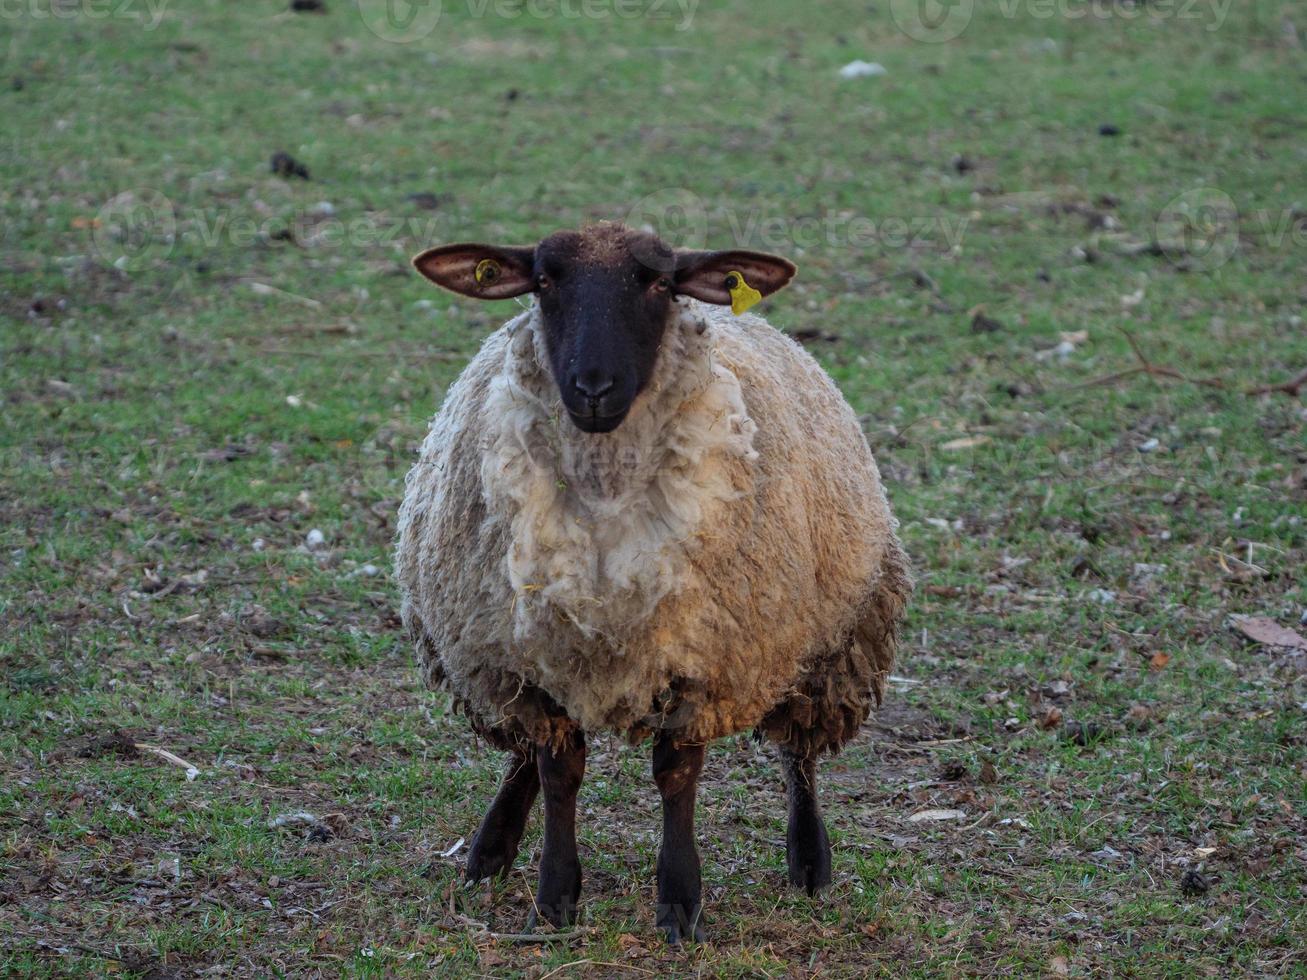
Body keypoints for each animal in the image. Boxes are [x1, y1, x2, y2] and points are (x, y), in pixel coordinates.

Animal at [394, 222, 909, 946]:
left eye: (660, 283)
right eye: (543, 281)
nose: (593, 386)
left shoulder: (704, 661)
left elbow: (676, 776)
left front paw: (679, 902)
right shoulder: (534, 653)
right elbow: (558, 770)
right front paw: (555, 898)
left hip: (826, 638)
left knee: (799, 752)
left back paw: (809, 859)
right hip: (508, 654)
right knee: (524, 751)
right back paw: (491, 848)